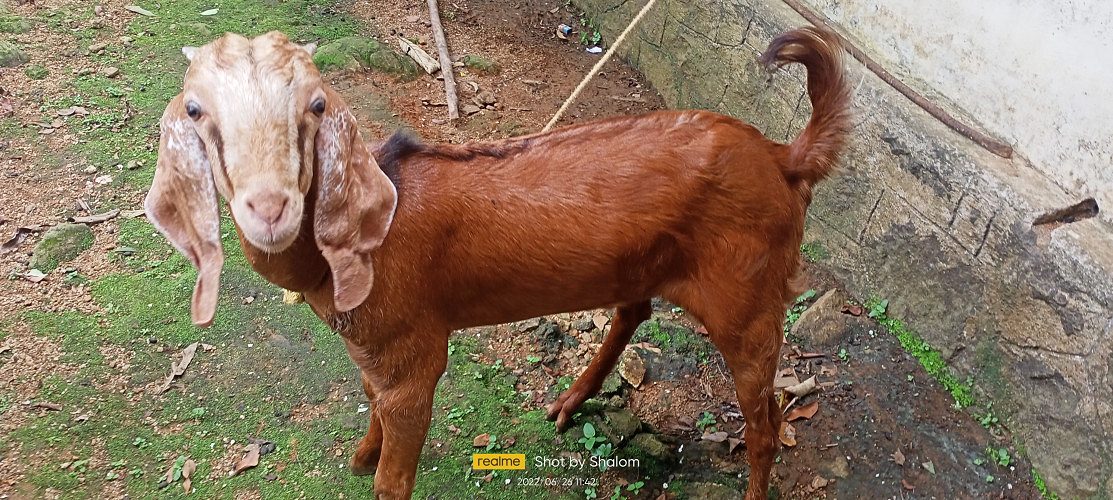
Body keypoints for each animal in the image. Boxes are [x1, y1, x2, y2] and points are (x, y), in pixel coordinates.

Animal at [145, 28, 850, 500]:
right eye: (195, 109)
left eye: (315, 106)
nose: (268, 206)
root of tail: (785, 157)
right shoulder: (372, 348)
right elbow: (371, 406)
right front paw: (360, 455)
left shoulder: (414, 348)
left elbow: (395, 471)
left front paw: (374, 463)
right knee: (636, 308)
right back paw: (569, 403)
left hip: (748, 295)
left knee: (766, 421)